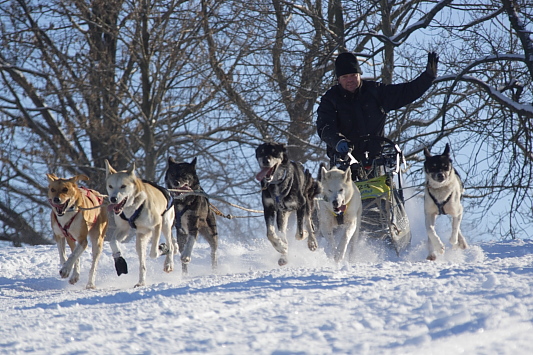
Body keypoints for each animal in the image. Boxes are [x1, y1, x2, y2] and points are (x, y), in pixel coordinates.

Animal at [105, 161, 176, 290]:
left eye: (123, 186)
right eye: (110, 186)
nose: (113, 199)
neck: (134, 206)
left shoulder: (157, 224)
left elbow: (153, 253)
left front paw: (162, 249)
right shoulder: (123, 229)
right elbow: (112, 242)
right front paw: (118, 259)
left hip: (165, 225)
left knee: (171, 245)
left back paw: (168, 263)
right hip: (141, 237)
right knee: (142, 264)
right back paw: (141, 282)